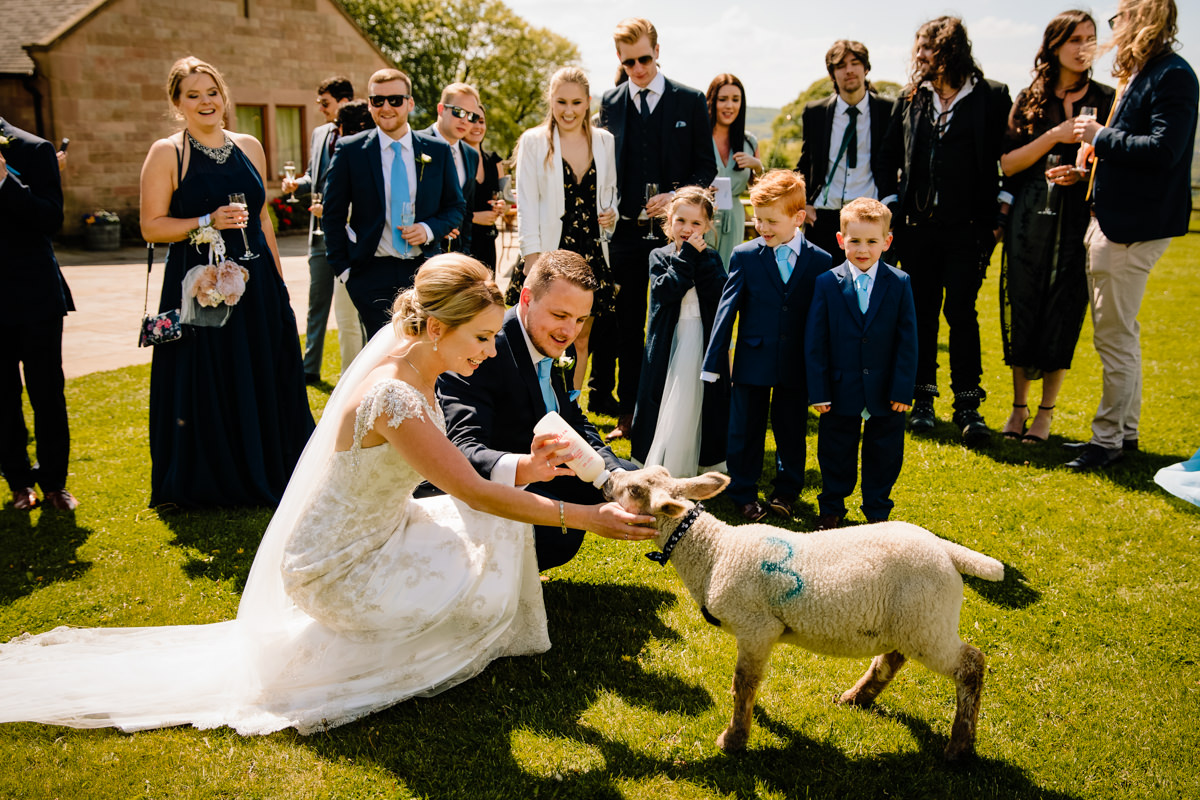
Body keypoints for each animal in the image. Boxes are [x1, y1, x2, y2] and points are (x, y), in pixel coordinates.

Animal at [604, 470, 1008, 762]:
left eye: (635, 489)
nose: (607, 481)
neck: (715, 551)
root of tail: (946, 551)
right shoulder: (757, 633)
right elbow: (747, 683)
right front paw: (751, 721)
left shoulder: (757, 627)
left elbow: (744, 683)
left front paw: (734, 738)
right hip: (913, 621)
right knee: (892, 658)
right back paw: (856, 697)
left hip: (928, 623)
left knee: (971, 665)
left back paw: (959, 746)